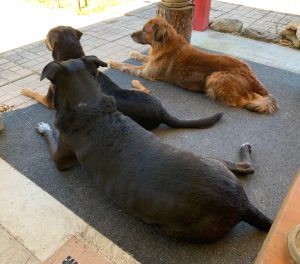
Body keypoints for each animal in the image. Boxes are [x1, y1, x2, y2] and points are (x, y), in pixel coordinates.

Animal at [21, 26, 223, 130]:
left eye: (46, 37)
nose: (42, 41)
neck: (73, 57)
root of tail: (162, 111)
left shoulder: (49, 100)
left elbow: (34, 93)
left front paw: (24, 89)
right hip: (146, 93)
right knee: (146, 88)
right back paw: (135, 82)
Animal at [37, 56, 272, 243]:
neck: (88, 101)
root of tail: (241, 205)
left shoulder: (61, 158)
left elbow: (51, 138)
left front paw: (43, 127)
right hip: (213, 161)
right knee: (244, 168)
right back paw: (245, 150)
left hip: (172, 227)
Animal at [108, 16, 278, 114]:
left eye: (145, 30)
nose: (130, 35)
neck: (164, 44)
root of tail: (252, 77)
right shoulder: (150, 62)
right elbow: (143, 57)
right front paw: (134, 54)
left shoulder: (146, 72)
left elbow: (128, 67)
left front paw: (112, 62)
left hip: (215, 77)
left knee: (241, 102)